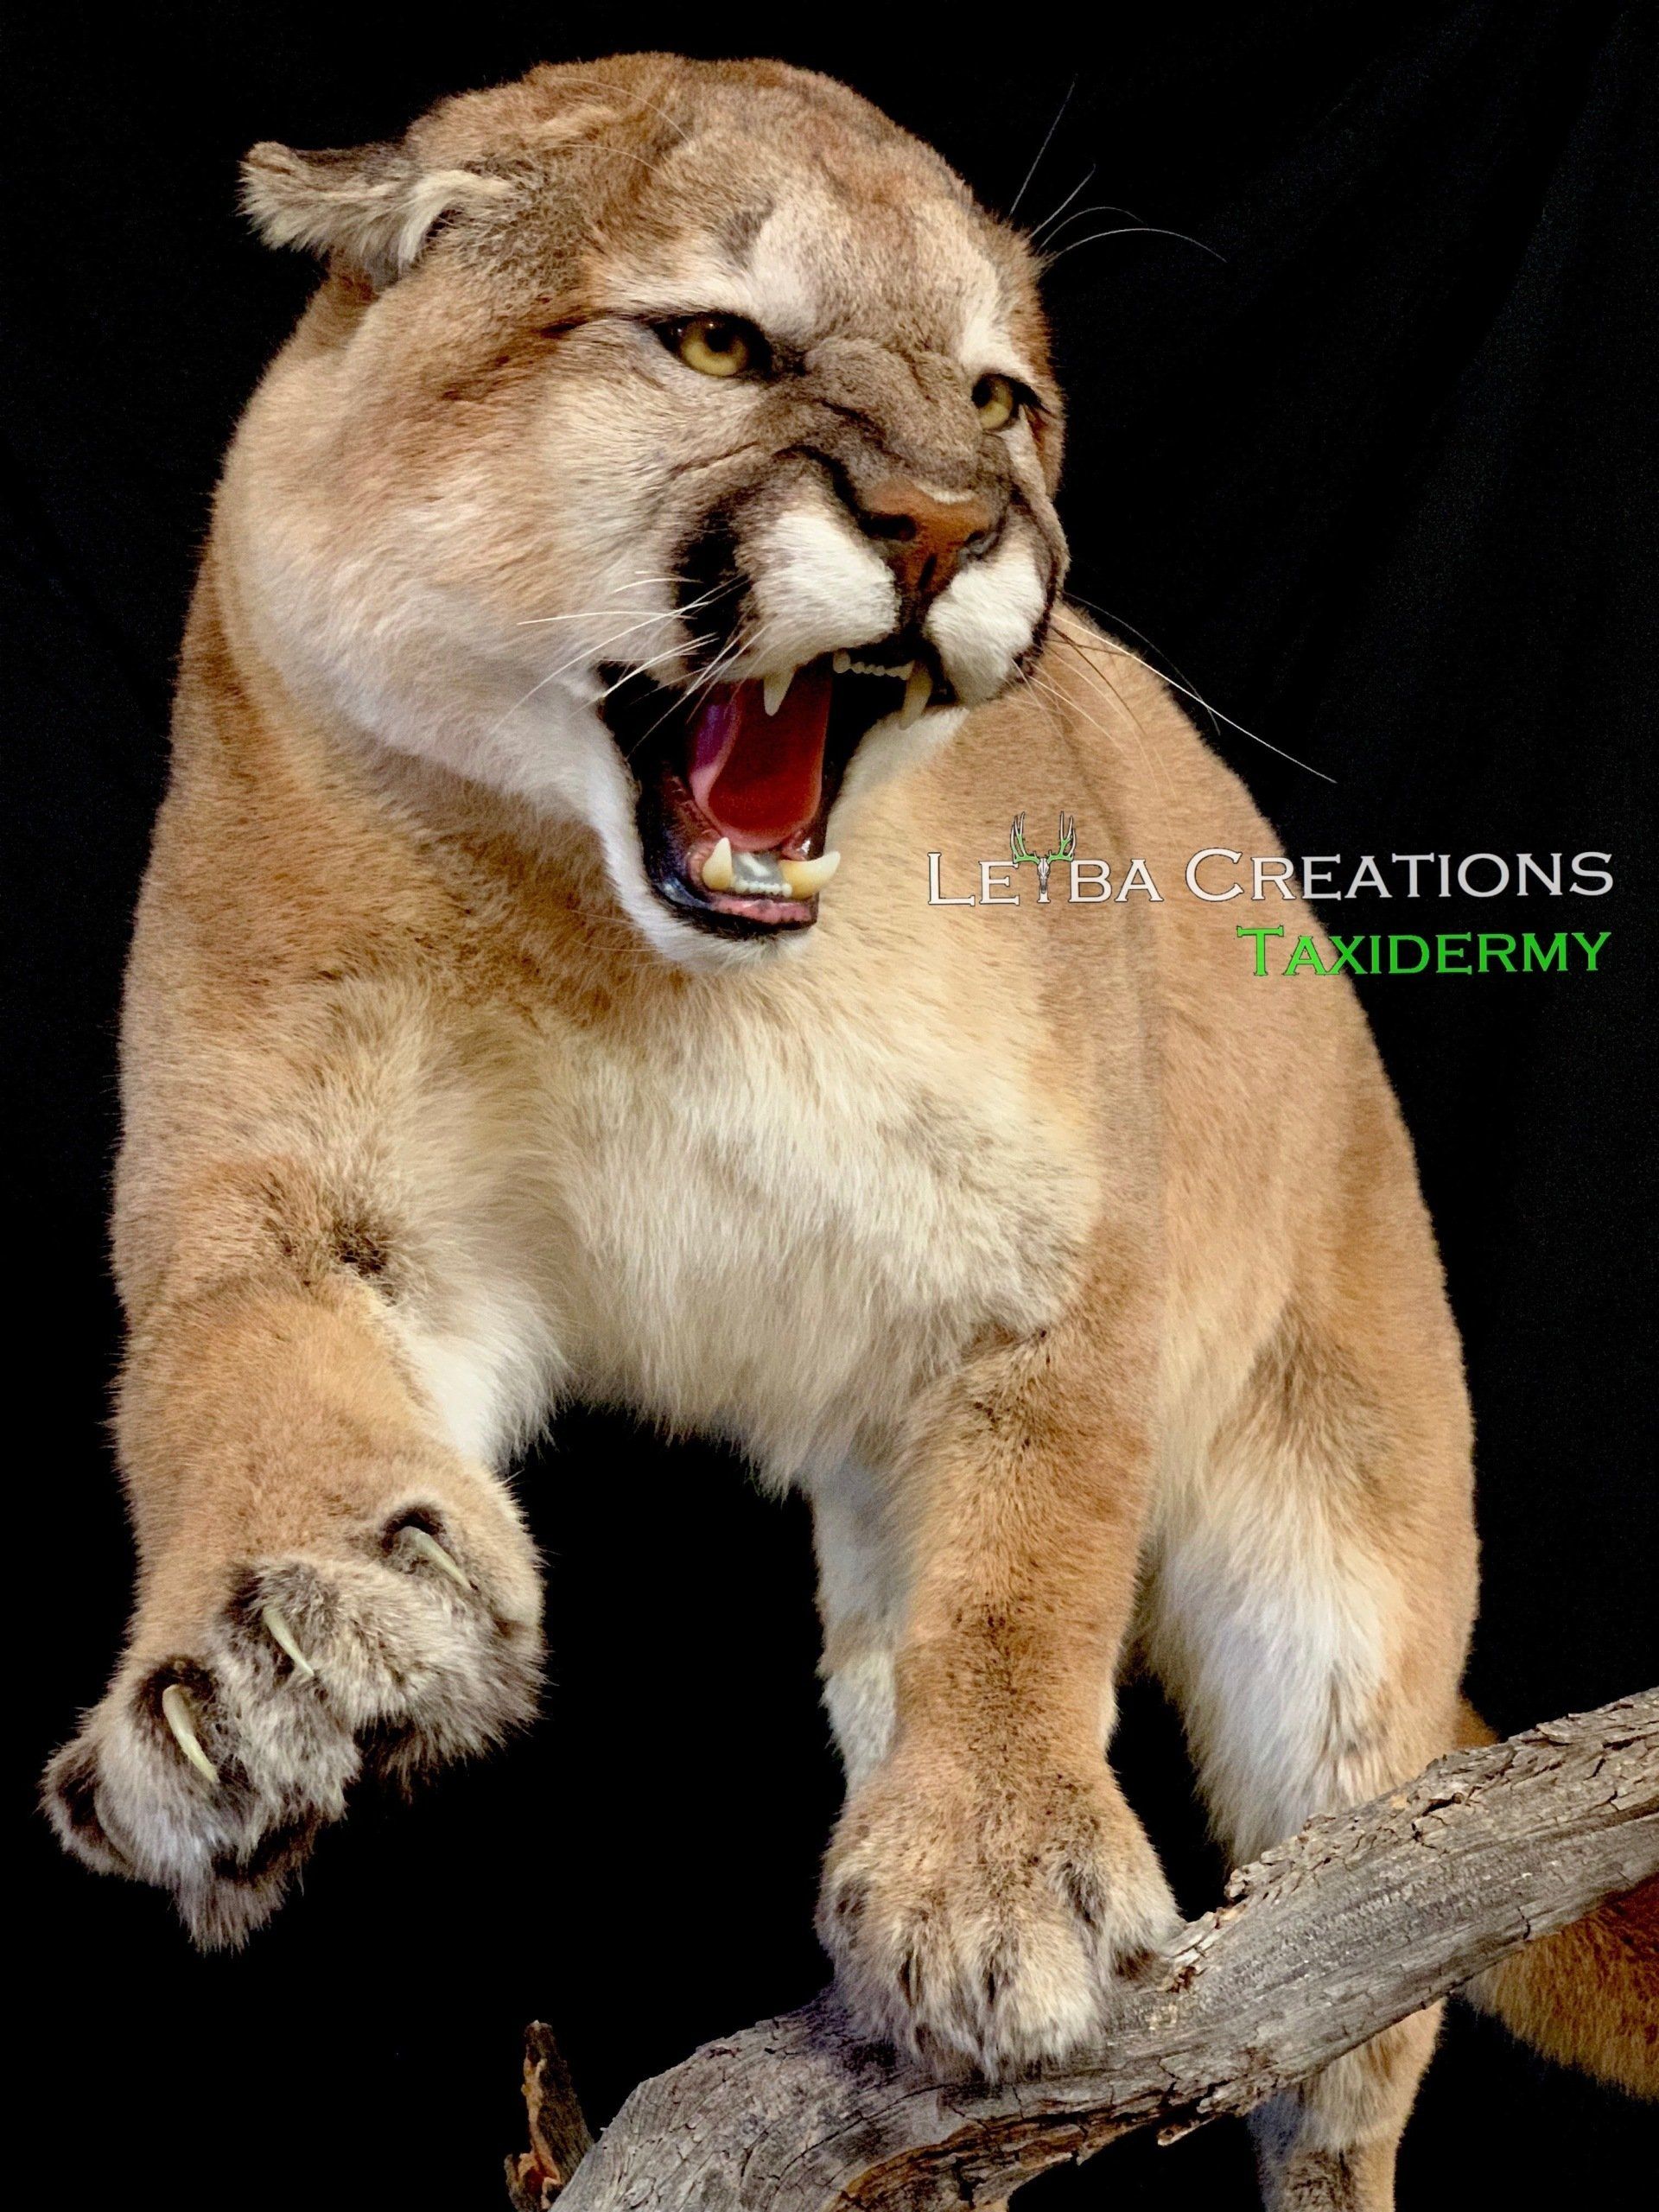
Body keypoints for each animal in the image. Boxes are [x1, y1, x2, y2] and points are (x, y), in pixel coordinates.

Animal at [41, 53, 1653, 2205]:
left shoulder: (1057, 1262)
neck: (631, 968)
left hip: (1348, 1611)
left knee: (1360, 1999)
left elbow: (1035, 1566)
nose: (952, 524)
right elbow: (240, 1388)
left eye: (999, 398)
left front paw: (1000, 1875)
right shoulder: (288, 1197)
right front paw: (271, 1663)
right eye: (722, 341)